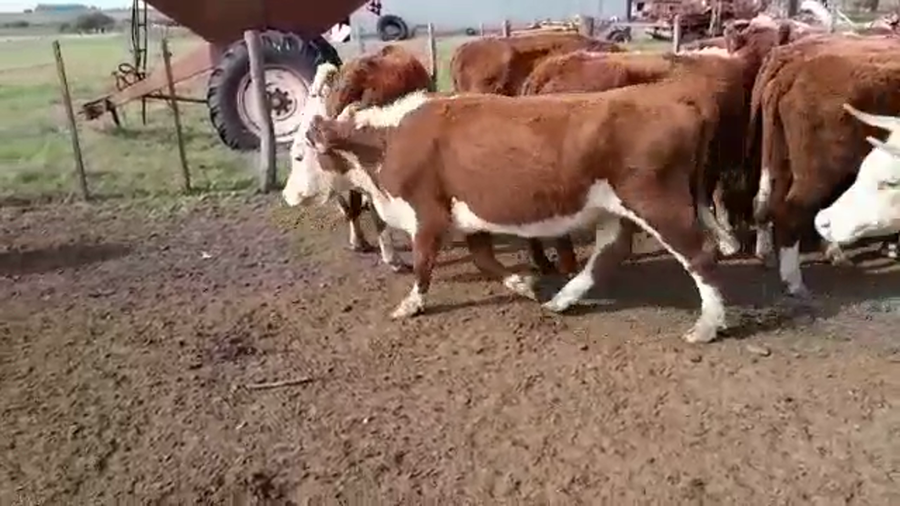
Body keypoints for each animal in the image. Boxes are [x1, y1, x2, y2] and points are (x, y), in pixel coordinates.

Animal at [283, 86, 733, 344]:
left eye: (299, 155)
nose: (287, 195)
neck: (389, 141)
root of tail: (681, 103)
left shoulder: (428, 213)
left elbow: (424, 263)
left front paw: (411, 304)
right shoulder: (468, 214)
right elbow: (484, 259)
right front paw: (524, 284)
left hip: (657, 201)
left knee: (699, 254)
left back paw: (708, 325)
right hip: (612, 206)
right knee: (611, 252)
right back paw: (562, 300)